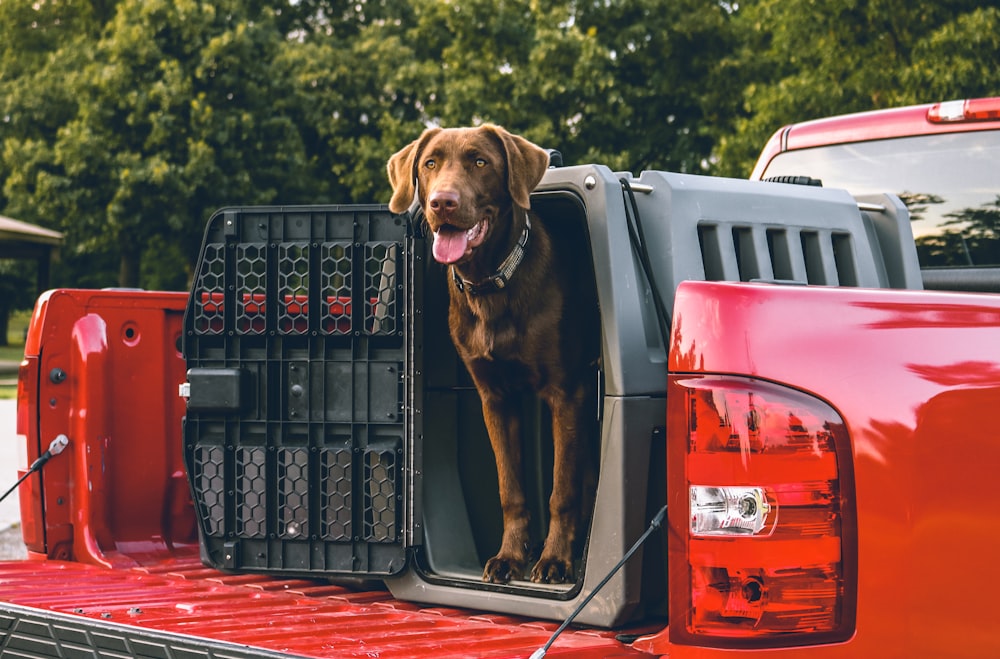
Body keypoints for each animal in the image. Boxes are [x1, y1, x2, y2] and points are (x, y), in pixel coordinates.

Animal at [386, 124, 596, 584]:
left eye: (480, 161)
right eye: (430, 163)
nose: (441, 202)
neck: (491, 284)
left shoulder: (567, 394)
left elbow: (562, 490)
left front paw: (554, 559)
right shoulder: (495, 398)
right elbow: (510, 488)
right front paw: (511, 556)